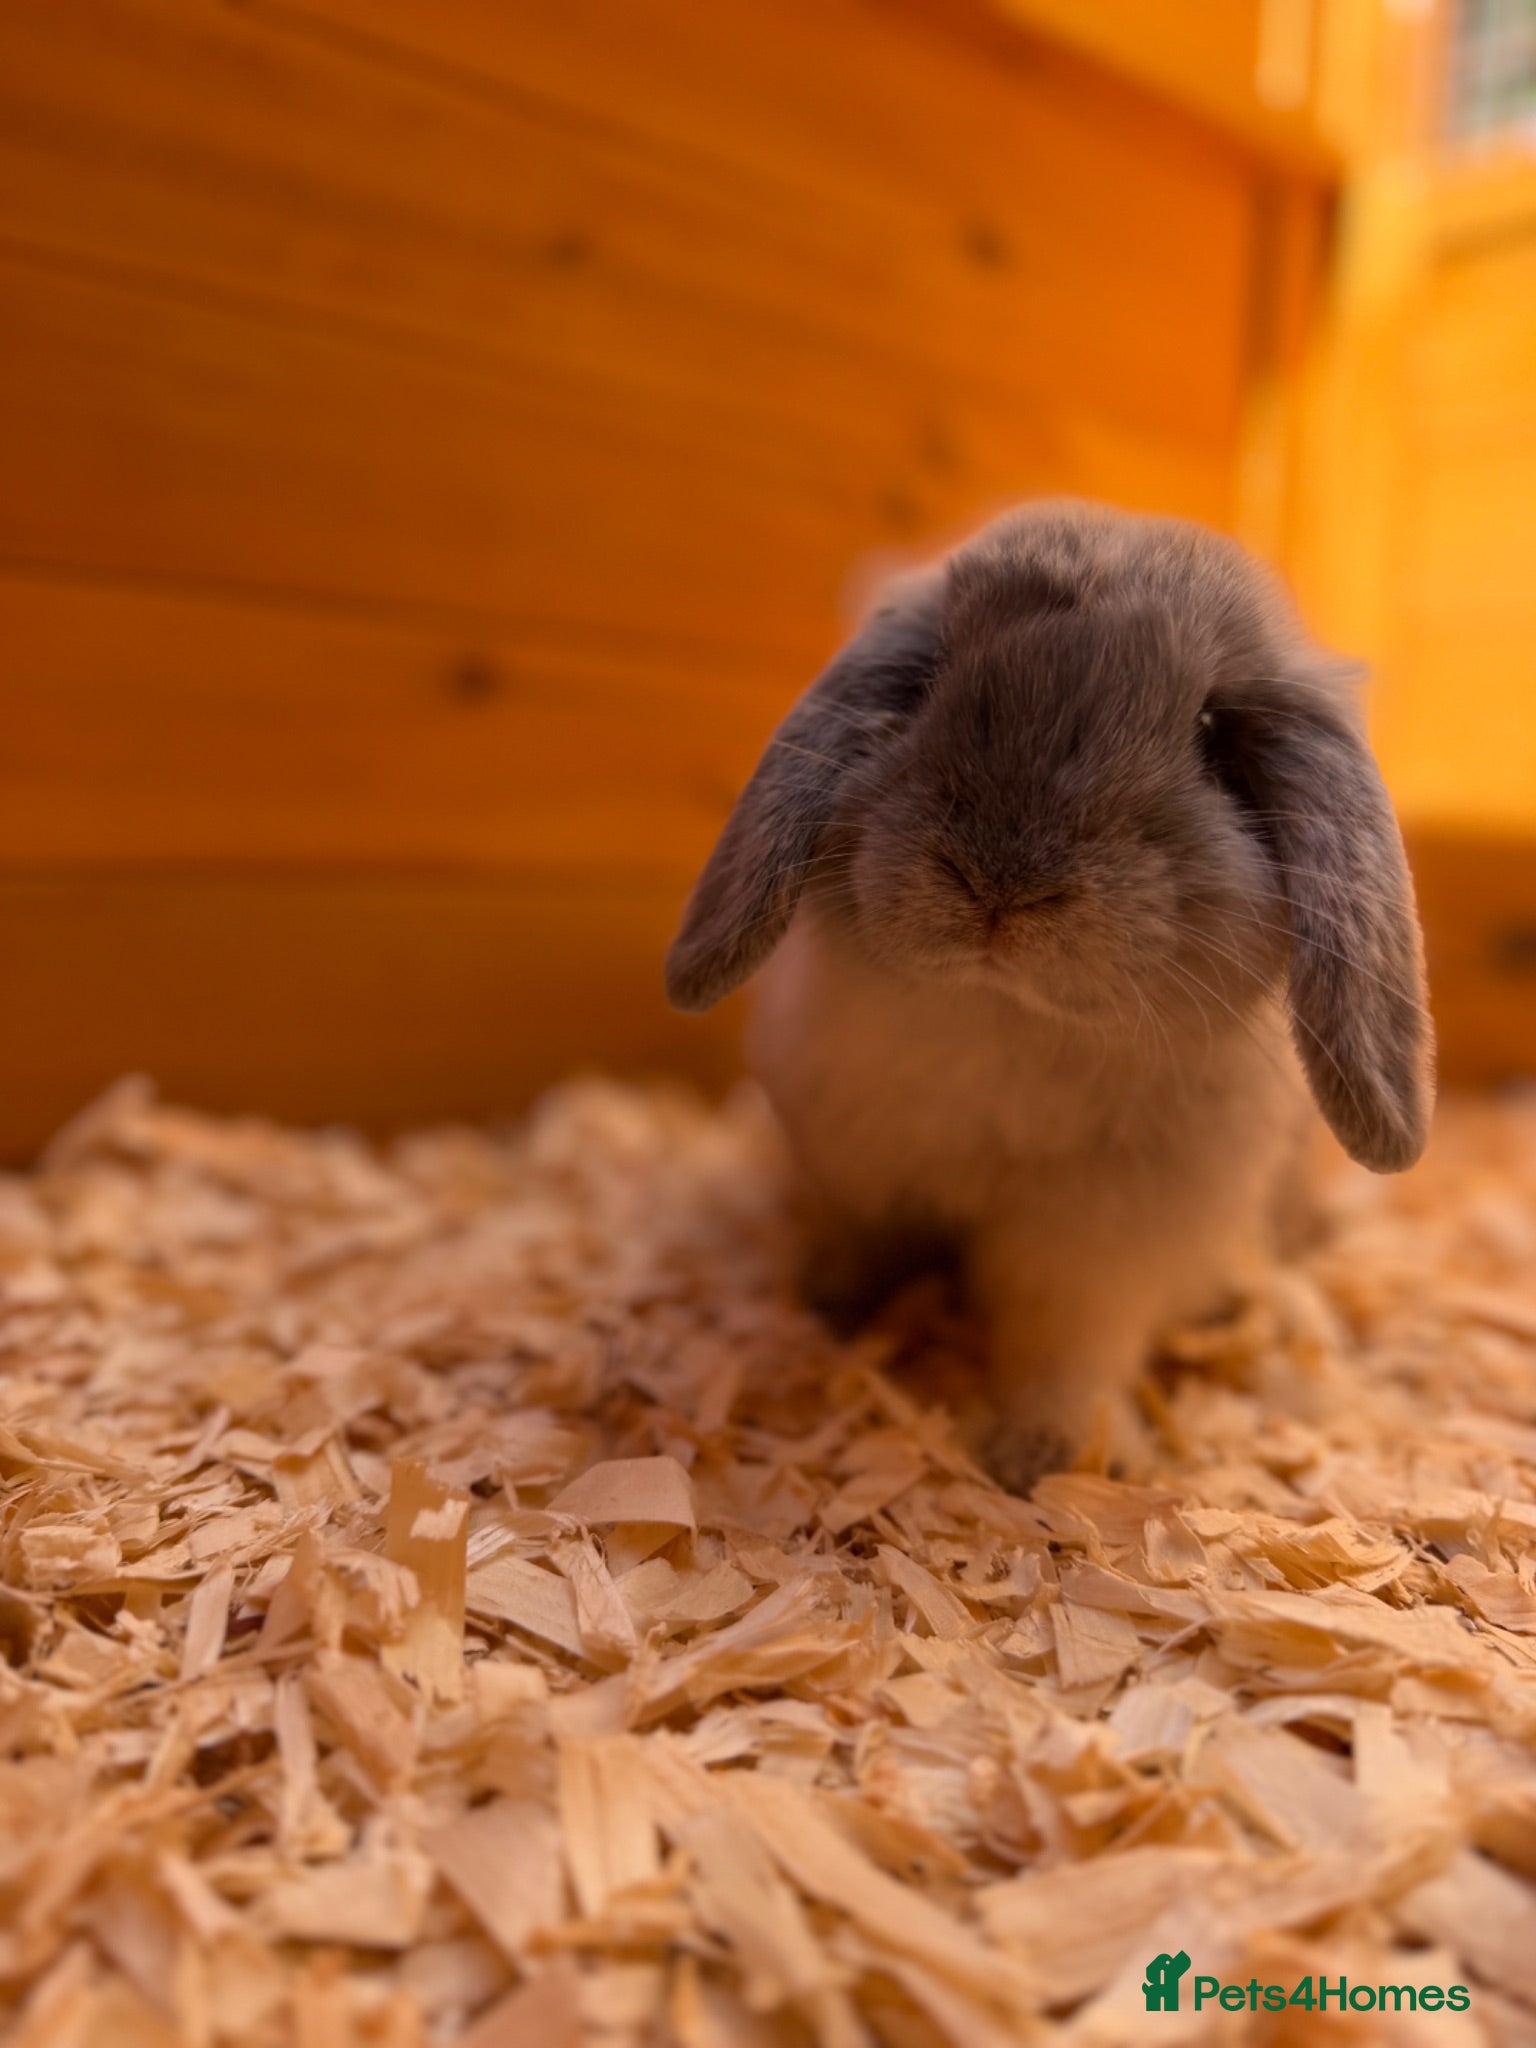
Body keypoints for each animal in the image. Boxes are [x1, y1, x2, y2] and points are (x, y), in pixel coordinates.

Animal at [665, 501, 1433, 1488]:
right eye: (928, 677)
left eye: (1215, 730)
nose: (1001, 881)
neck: (1008, 1021)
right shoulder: (856, 1176)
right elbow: (867, 1246)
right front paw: (831, 1309)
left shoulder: (1095, 1252)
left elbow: (1064, 1349)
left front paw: (1048, 1460)